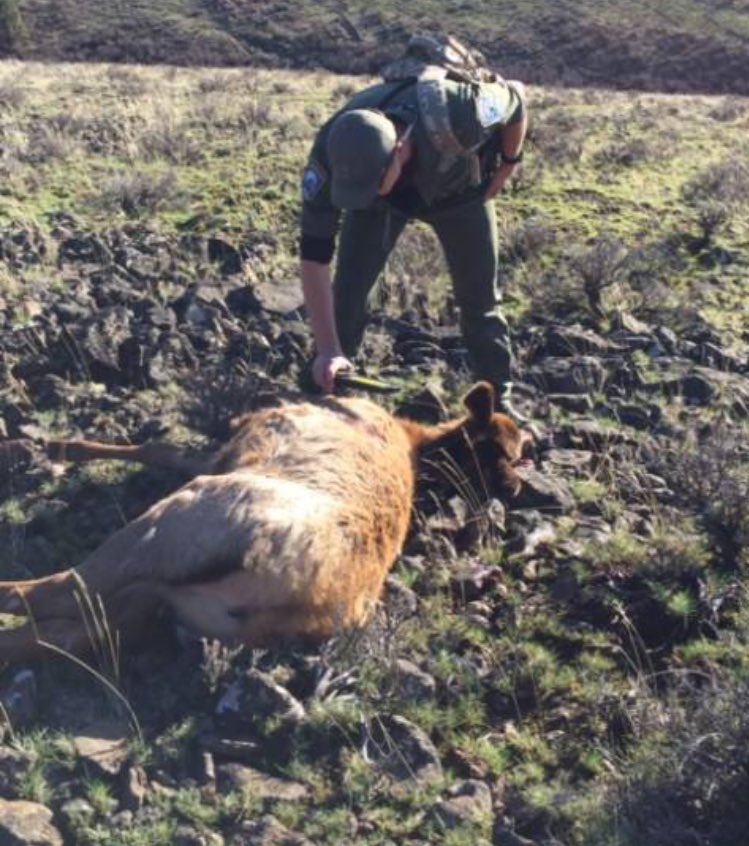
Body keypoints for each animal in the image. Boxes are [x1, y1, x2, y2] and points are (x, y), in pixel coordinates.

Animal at [0, 380, 532, 664]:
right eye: (506, 451)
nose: (514, 488)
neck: (412, 437)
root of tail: (282, 594)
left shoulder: (225, 456)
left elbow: (158, 448)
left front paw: (61, 447)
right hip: (161, 597)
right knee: (65, 631)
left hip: (174, 526)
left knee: (54, 591)